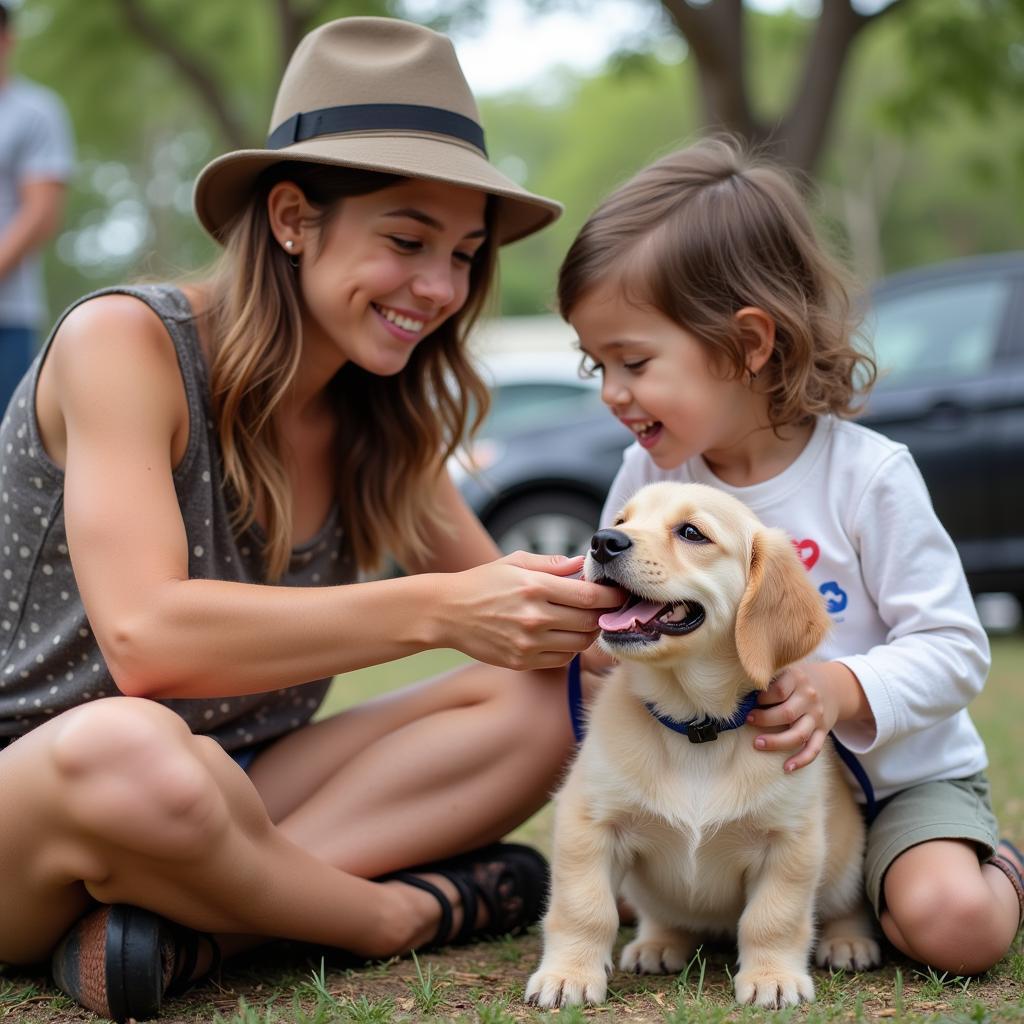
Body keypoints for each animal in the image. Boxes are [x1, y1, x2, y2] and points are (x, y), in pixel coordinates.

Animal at [528, 481, 880, 1007]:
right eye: (622, 520)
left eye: (692, 533)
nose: (602, 541)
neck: (697, 725)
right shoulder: (588, 823)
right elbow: (584, 908)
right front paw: (567, 975)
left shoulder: (790, 841)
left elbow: (773, 918)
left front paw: (773, 977)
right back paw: (657, 943)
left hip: (842, 863)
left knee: (842, 906)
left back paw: (849, 941)